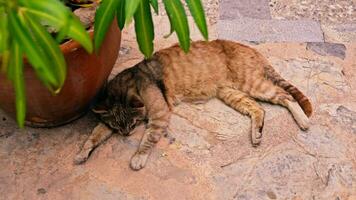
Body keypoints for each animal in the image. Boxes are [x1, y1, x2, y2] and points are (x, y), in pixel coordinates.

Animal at [73, 39, 312, 170]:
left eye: (132, 125)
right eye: (118, 126)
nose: (125, 134)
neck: (130, 84)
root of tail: (250, 48)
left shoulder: (160, 114)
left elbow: (148, 139)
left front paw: (138, 158)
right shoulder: (107, 123)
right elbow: (93, 136)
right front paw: (82, 153)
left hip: (253, 84)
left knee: (286, 96)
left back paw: (303, 121)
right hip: (231, 93)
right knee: (259, 109)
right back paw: (257, 135)